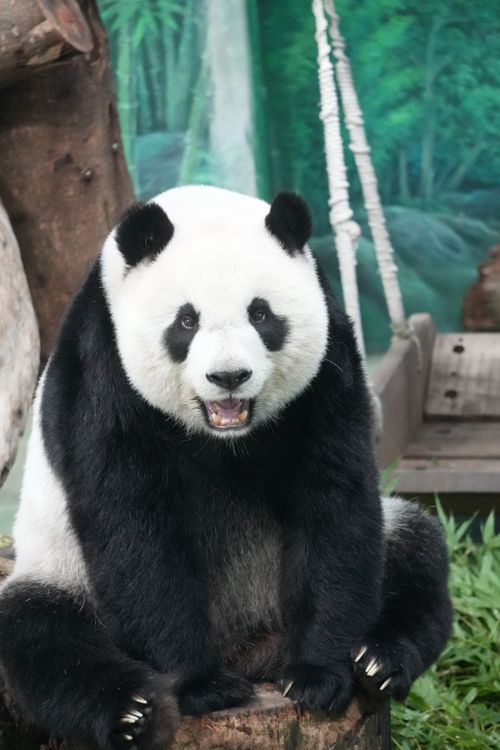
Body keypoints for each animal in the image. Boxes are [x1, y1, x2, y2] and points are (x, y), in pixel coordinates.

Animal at [0, 186, 452, 749]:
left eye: (261, 314)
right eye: (186, 321)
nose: (229, 376)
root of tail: (248, 652)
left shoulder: (331, 363)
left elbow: (333, 498)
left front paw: (318, 673)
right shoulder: (101, 366)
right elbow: (132, 522)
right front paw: (199, 685)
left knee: (415, 546)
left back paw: (378, 659)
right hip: (60, 569)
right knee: (43, 634)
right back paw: (134, 709)